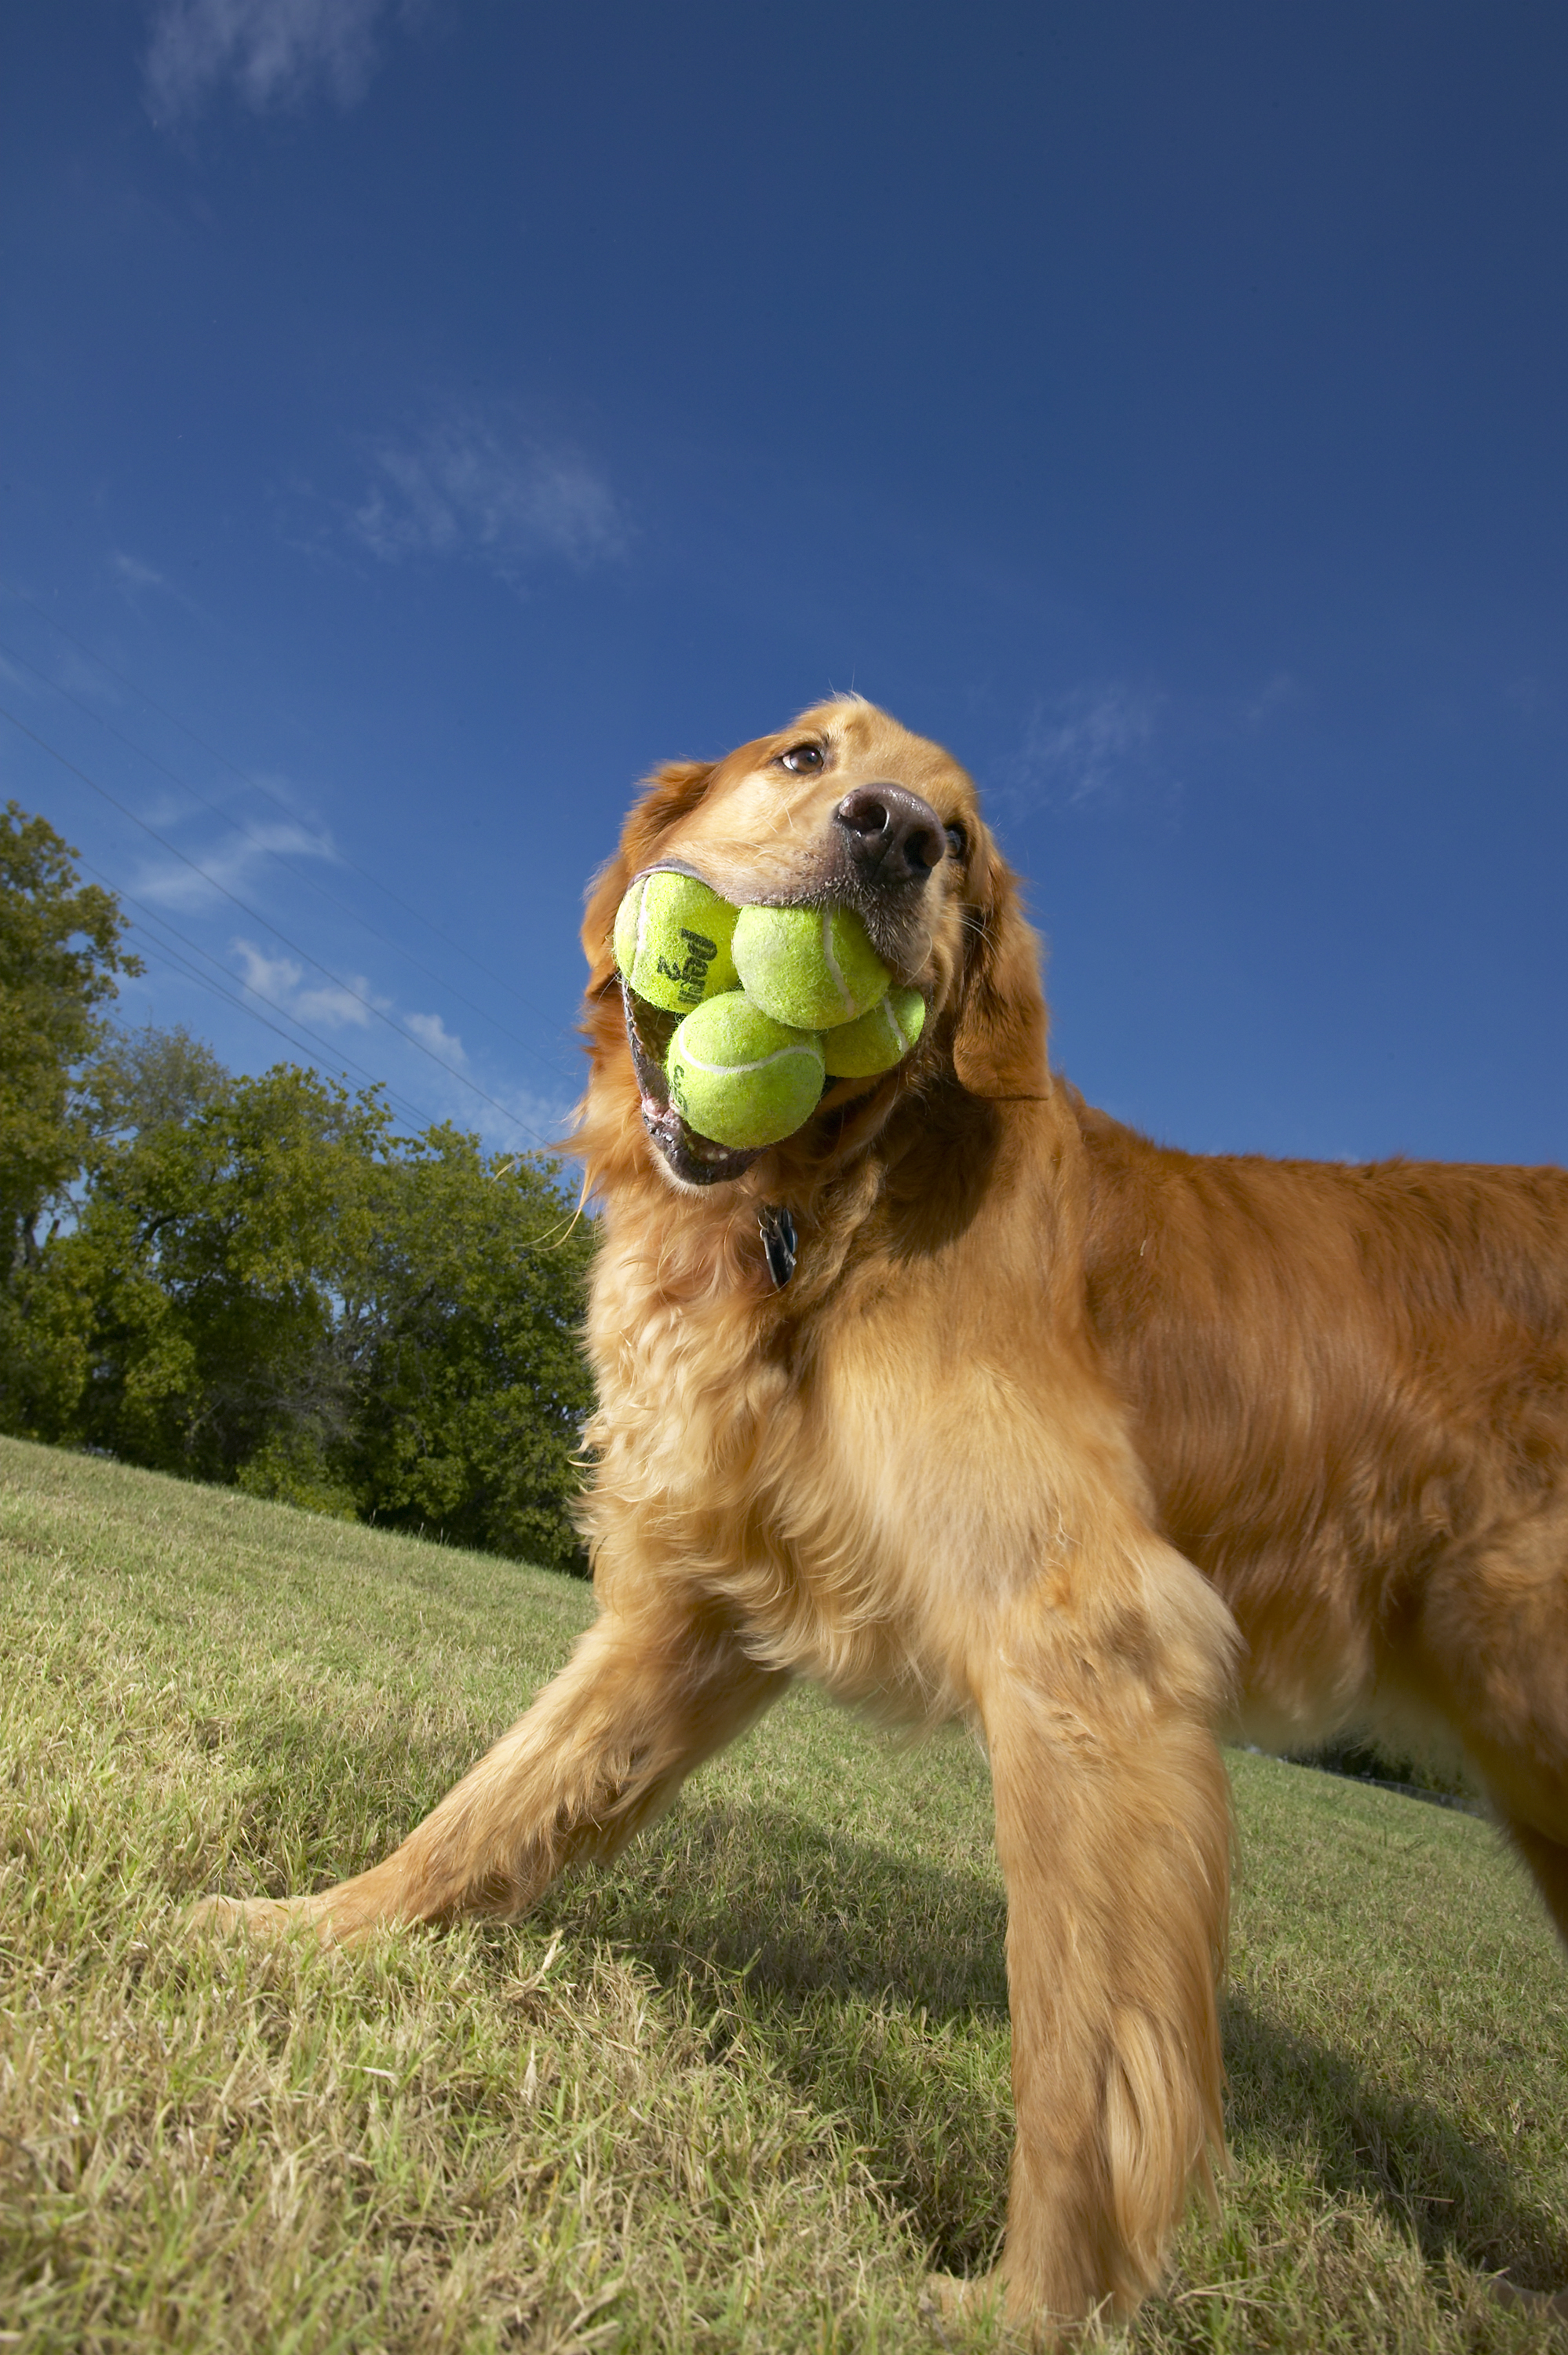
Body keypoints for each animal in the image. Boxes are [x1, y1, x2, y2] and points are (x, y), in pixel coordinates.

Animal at [201, 697, 1563, 2336]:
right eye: (804, 754)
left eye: (961, 839)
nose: (893, 834)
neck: (824, 1216)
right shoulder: (696, 1613)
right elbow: (493, 1802)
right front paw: (307, 1929)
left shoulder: (1092, 1647)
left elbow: (1080, 2069)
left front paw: (1028, 2314)